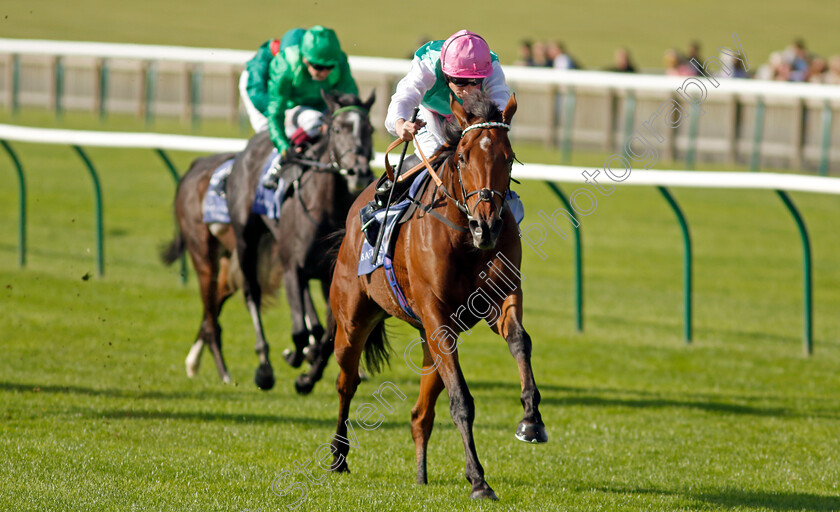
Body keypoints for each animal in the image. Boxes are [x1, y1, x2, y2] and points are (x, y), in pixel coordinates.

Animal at [162, 91, 374, 388]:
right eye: (338, 129)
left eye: (370, 130)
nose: (360, 172)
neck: (324, 207)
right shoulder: (292, 267)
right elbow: (300, 331)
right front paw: (294, 357)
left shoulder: (331, 272)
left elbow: (328, 333)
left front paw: (308, 377)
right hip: (223, 251)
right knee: (243, 296)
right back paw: (253, 367)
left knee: (216, 304)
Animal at [318, 90, 548, 498]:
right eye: (463, 157)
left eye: (508, 156)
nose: (486, 225)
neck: (465, 240)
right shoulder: (436, 314)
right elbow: (462, 400)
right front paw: (479, 480)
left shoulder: (496, 301)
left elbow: (521, 341)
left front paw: (531, 420)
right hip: (352, 321)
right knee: (347, 382)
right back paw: (338, 457)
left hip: (432, 337)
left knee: (420, 413)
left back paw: (421, 474)